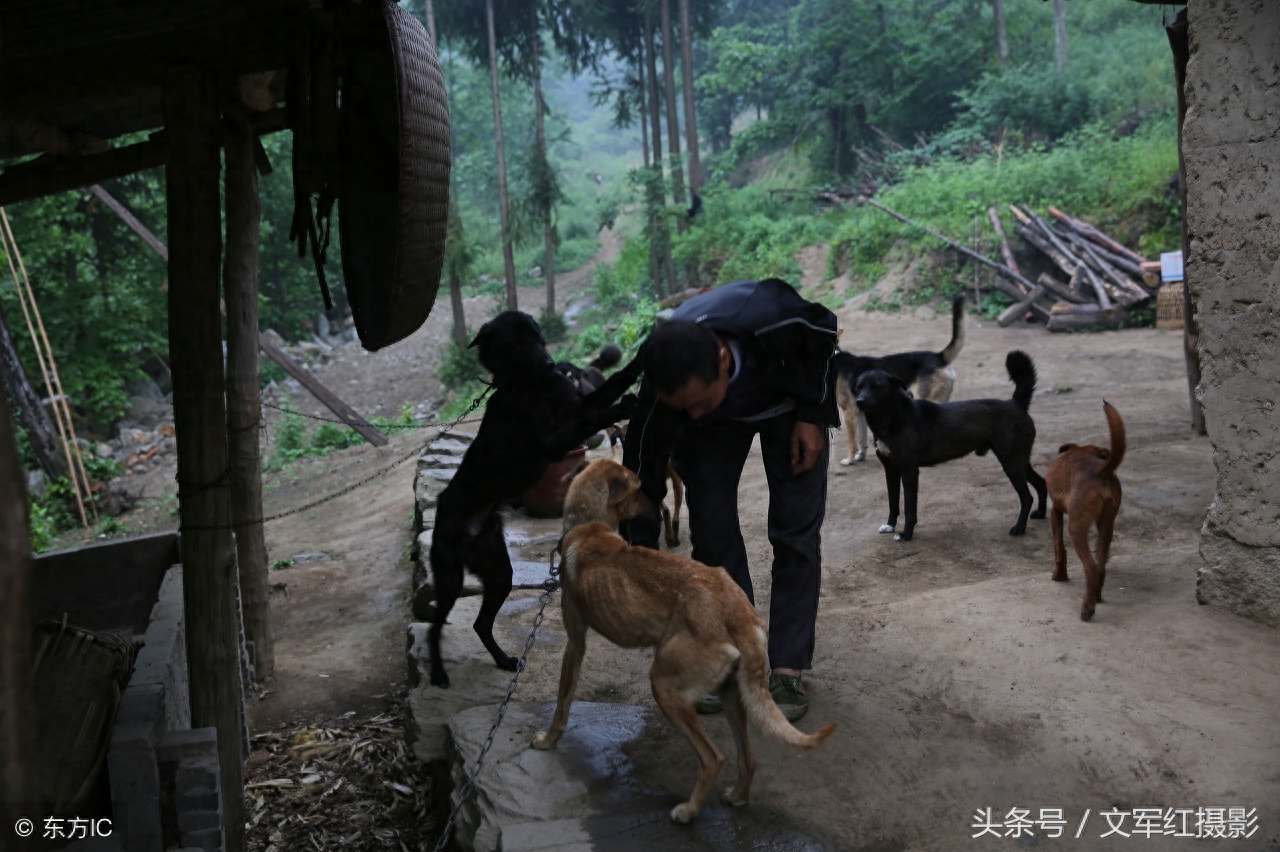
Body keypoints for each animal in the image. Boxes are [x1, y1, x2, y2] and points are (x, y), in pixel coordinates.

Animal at [427, 308, 645, 685]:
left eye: (538, 336)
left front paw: (641, 359)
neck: (531, 387)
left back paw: (502, 660)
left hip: (499, 573)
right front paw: (619, 409)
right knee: (434, 626)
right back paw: (438, 671)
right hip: (451, 579)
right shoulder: (553, 441)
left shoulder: (576, 405)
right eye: (517, 343)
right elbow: (593, 417)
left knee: (480, 624)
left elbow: (611, 383)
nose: (550, 363)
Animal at [532, 457, 839, 823]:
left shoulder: (575, 643)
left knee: (713, 757)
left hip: (665, 687)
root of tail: (738, 612)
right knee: (748, 758)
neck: (589, 525)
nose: (657, 508)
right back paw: (737, 796)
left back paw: (689, 810)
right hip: (732, 692)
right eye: (638, 489)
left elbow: (562, 701)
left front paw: (548, 739)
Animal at [855, 347, 1044, 539]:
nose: (859, 402)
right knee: (1041, 482)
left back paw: (1019, 528)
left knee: (1027, 497)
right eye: (859, 387)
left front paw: (906, 534)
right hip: (1019, 460)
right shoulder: (891, 470)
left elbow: (909, 507)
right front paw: (890, 525)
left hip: (1012, 462)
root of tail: (1016, 403)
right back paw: (1041, 514)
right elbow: (893, 502)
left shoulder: (909, 471)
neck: (894, 418)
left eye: (876, 386)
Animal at [1044, 401, 1126, 621]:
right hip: (1107, 525)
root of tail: (1101, 471)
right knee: (1100, 568)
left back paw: (1087, 609)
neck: (1083, 451)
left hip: (1076, 527)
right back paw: (1096, 597)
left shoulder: (1055, 512)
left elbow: (1059, 548)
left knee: (1090, 568)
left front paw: (1059, 575)